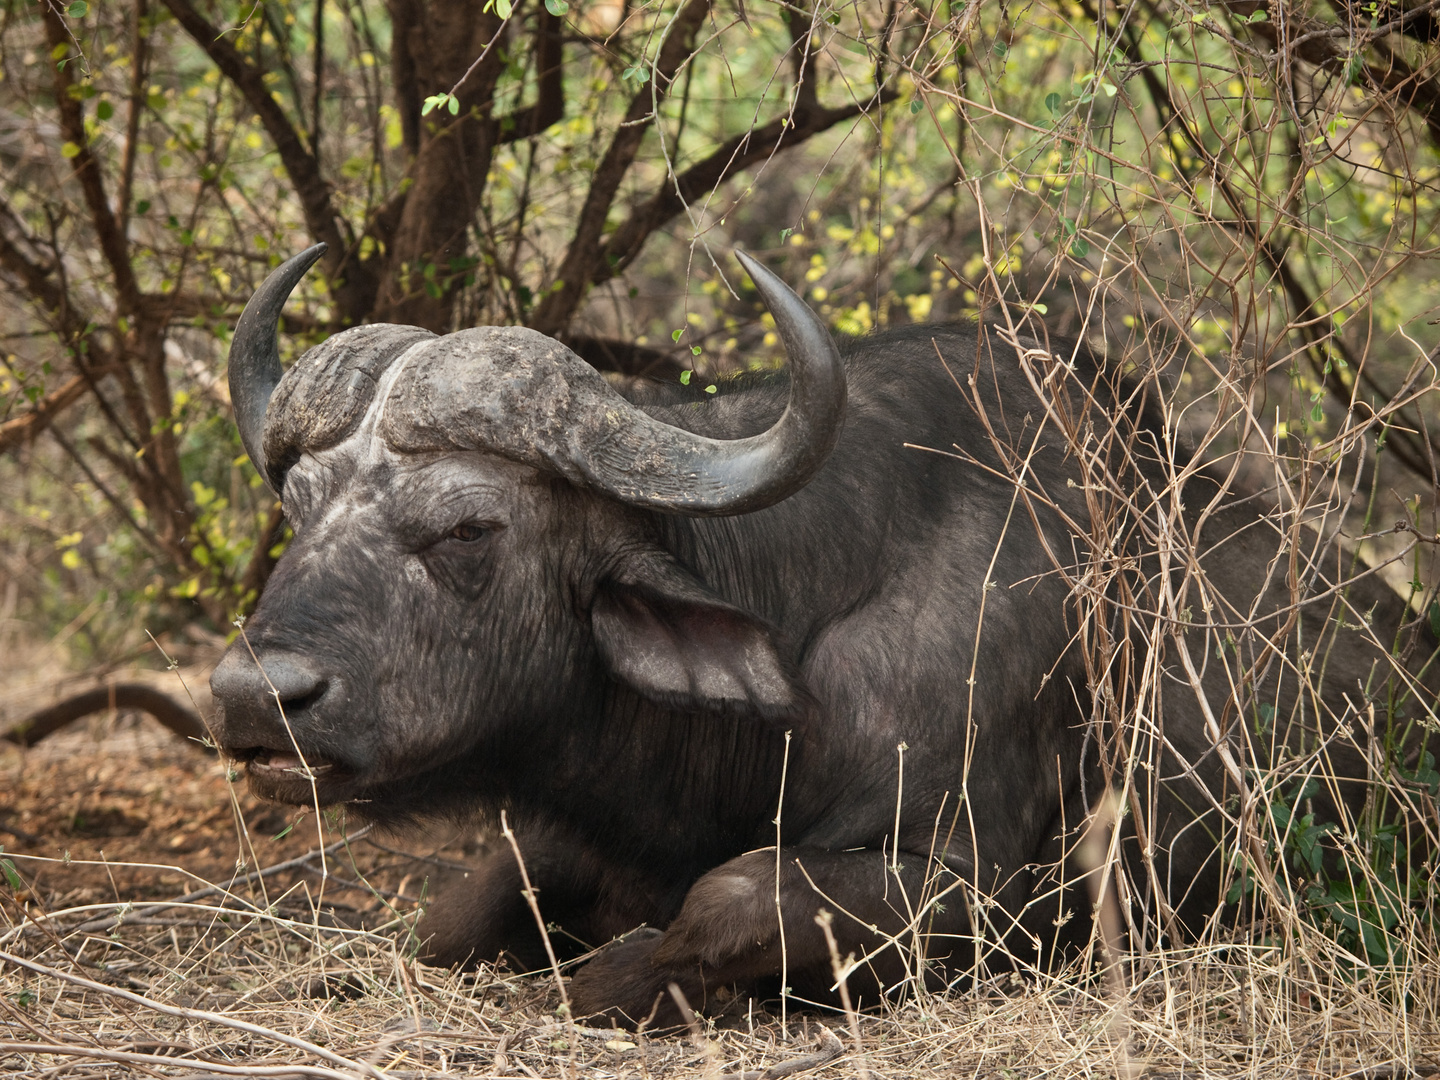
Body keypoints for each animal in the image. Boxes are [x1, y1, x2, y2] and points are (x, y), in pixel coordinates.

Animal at [208, 247, 1422, 1031]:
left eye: (468, 526)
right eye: (301, 504)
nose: (254, 696)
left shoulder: (983, 893)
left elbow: (725, 899)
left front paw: (628, 981)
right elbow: (457, 909)